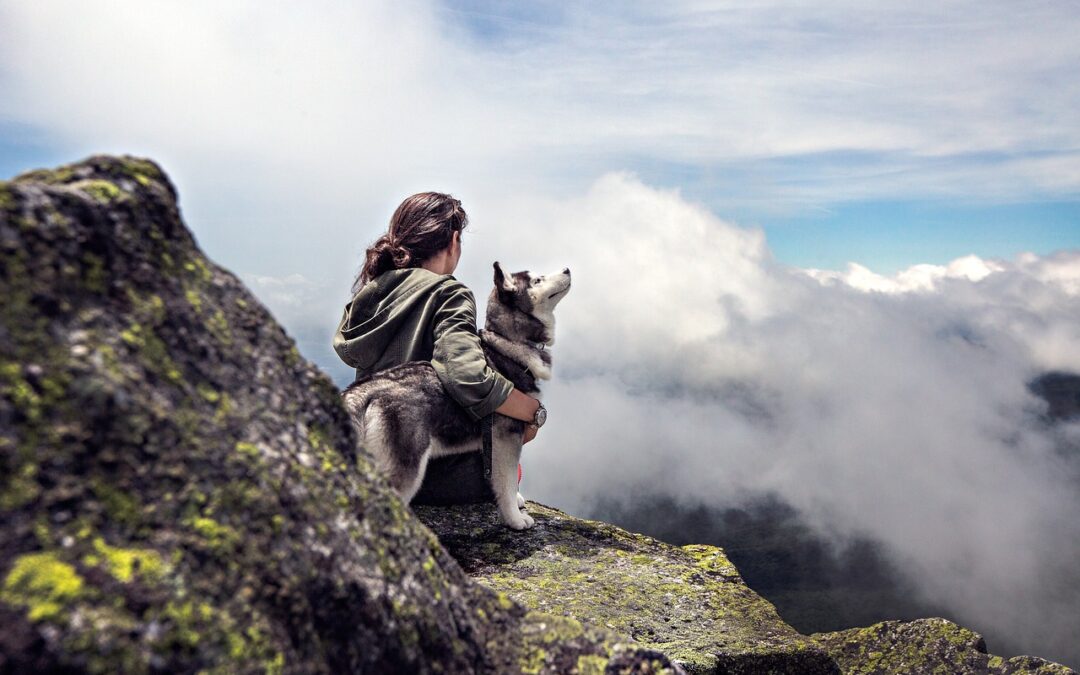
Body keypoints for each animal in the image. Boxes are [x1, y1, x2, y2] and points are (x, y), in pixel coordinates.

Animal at [341, 260, 570, 529]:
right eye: (537, 280)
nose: (567, 269)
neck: (507, 343)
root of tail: (363, 390)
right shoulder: (506, 437)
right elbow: (507, 480)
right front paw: (514, 518)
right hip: (406, 467)